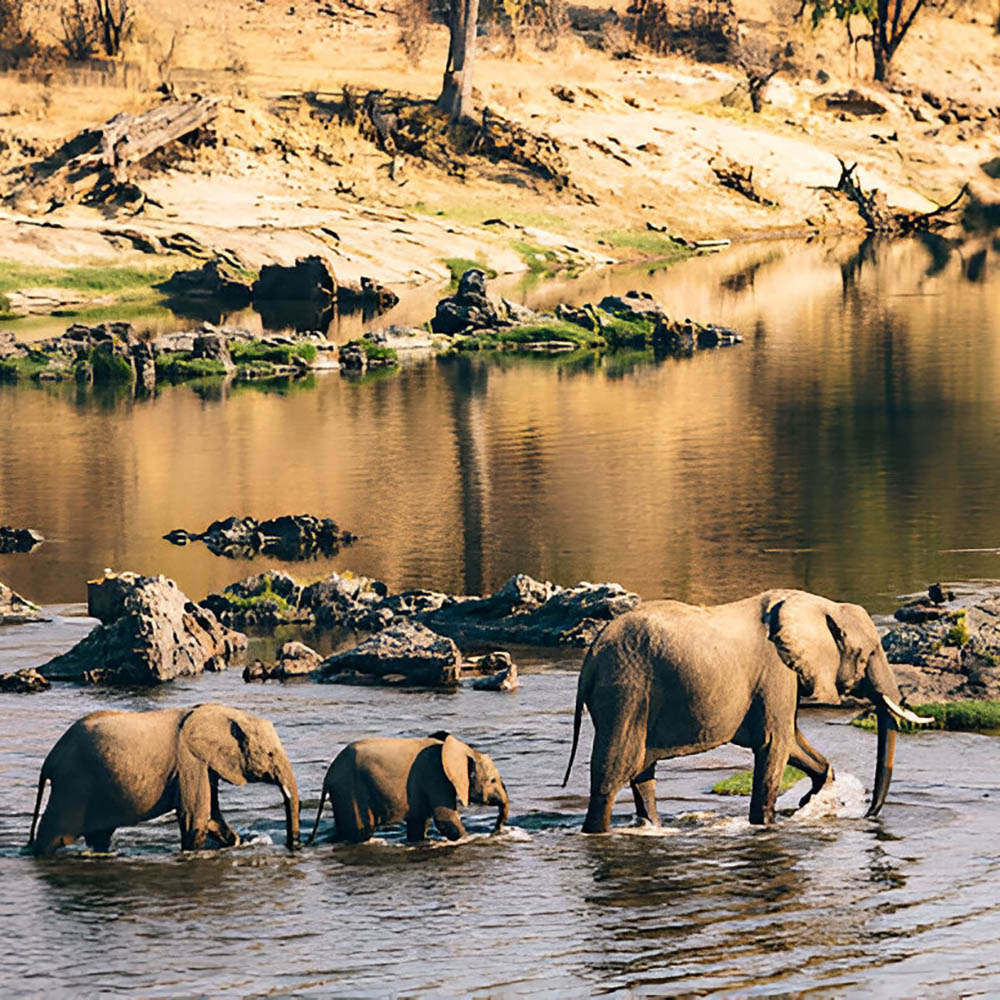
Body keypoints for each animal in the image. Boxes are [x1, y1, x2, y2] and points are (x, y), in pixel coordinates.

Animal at [29, 700, 298, 856]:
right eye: (270, 754)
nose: (293, 845)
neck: (225, 714)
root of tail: (50, 759)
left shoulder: (204, 764)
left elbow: (211, 817)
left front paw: (237, 843)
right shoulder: (190, 761)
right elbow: (196, 818)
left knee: (99, 836)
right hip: (73, 784)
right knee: (53, 835)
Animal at [308, 732, 512, 840]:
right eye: (492, 781)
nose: (495, 832)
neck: (462, 749)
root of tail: (328, 776)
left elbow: (419, 822)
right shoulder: (435, 776)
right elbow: (445, 819)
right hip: (350, 790)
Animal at [564, 588, 928, 832]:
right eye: (868, 654)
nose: (868, 814)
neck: (819, 604)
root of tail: (590, 658)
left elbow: (792, 741)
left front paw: (810, 800)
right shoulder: (777, 672)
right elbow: (774, 743)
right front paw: (766, 824)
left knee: (642, 772)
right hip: (626, 692)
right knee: (613, 773)